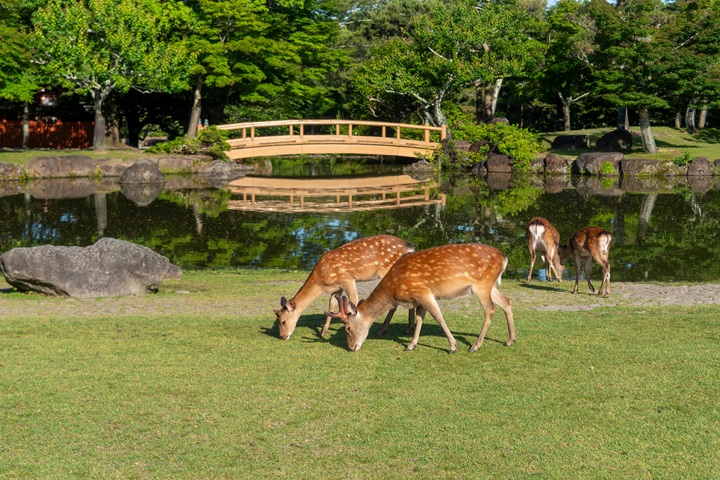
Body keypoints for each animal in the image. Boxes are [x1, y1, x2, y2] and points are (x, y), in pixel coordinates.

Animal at [274, 235, 416, 340]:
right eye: (278, 320)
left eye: (283, 321)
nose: (282, 336)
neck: (321, 281)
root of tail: (410, 247)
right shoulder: (336, 287)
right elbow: (332, 304)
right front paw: (323, 332)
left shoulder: (347, 279)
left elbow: (353, 301)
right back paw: (408, 328)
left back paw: (383, 330)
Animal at [326, 243, 515, 354]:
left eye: (348, 328)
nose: (351, 348)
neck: (393, 289)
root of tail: (505, 258)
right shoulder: (419, 298)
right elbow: (419, 318)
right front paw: (411, 345)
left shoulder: (422, 292)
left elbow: (438, 316)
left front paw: (453, 347)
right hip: (490, 285)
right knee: (506, 301)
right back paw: (510, 340)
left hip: (482, 285)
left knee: (490, 309)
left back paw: (475, 346)